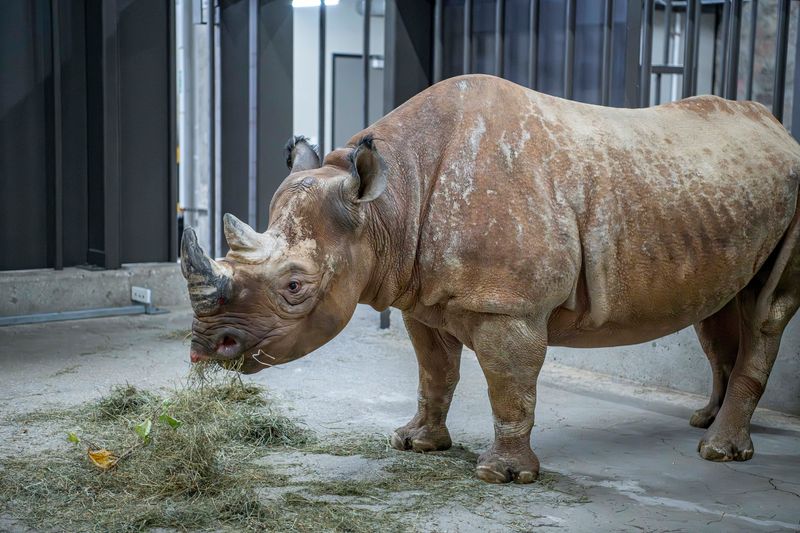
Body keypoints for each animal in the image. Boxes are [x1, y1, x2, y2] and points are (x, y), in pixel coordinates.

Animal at [182, 74, 800, 484]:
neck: (387, 207)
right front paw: (415, 443)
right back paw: (704, 422)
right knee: (719, 307)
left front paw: (502, 475)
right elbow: (435, 372)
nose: (207, 346)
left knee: (768, 310)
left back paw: (719, 452)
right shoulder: (420, 294)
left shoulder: (511, 306)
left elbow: (510, 385)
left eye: (294, 287)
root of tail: (779, 129)